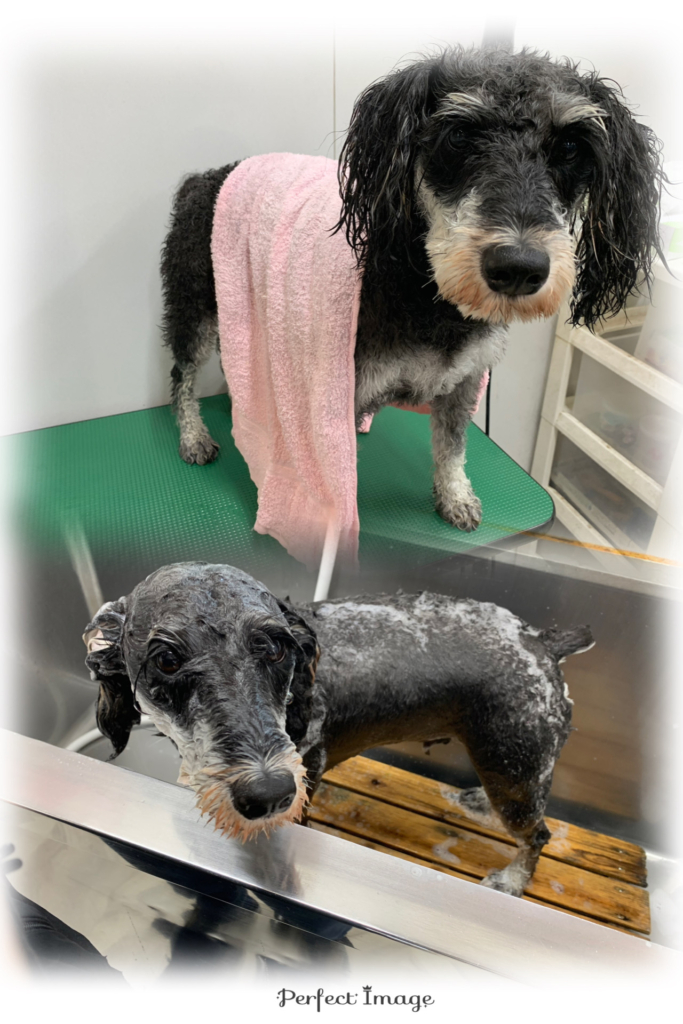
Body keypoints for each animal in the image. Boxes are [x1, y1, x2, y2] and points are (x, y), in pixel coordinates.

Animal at [83, 562, 594, 897]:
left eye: (274, 648)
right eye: (167, 661)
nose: (267, 793)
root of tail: (540, 642)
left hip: (514, 761)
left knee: (537, 835)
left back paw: (511, 880)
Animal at [160, 46, 662, 532]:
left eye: (571, 147)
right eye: (457, 136)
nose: (518, 267)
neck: (430, 298)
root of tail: (203, 178)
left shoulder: (465, 380)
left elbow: (452, 447)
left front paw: (455, 496)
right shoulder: (339, 396)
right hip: (195, 309)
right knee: (182, 375)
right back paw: (194, 436)